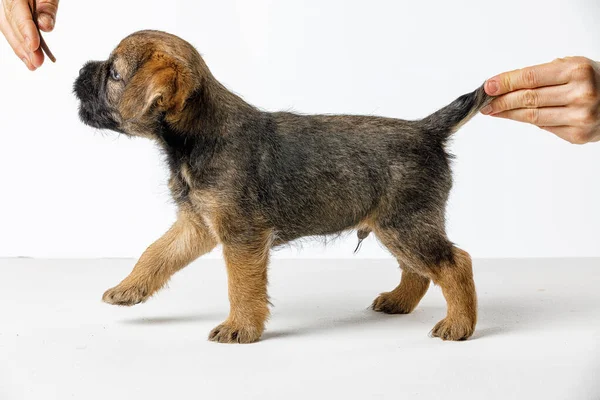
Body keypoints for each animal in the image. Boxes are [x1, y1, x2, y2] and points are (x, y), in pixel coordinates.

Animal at [74, 30, 492, 344]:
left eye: (113, 73)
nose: (81, 69)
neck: (198, 135)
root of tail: (426, 129)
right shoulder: (196, 224)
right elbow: (155, 253)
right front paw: (128, 288)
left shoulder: (242, 236)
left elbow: (242, 285)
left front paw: (240, 327)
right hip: (394, 227)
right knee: (418, 270)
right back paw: (399, 301)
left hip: (405, 225)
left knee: (454, 263)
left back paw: (459, 325)